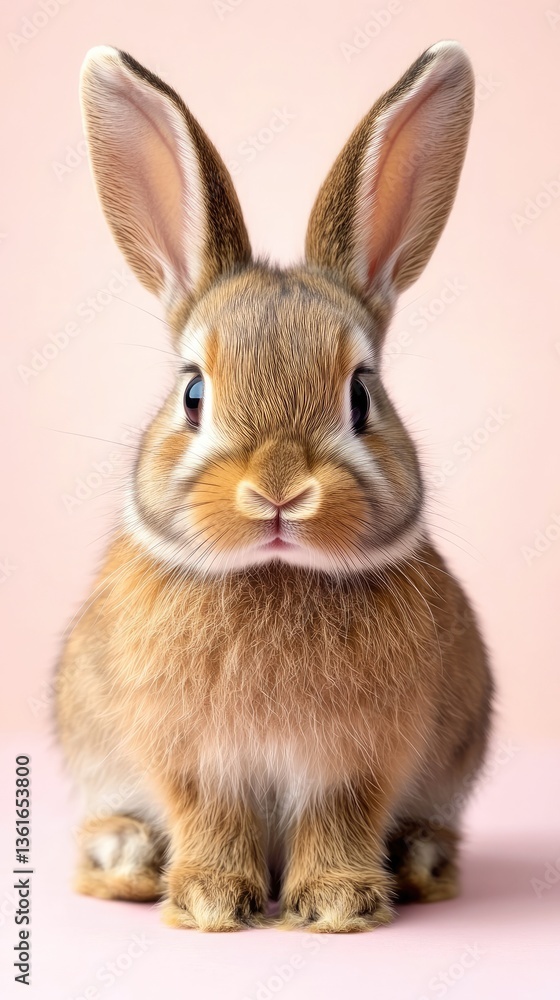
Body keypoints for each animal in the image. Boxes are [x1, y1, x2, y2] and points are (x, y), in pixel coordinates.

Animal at [56, 41, 493, 933]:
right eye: (193, 394)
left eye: (361, 396)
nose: (280, 491)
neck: (276, 574)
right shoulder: (194, 761)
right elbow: (210, 817)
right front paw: (209, 900)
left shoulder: (355, 763)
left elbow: (339, 817)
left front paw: (336, 904)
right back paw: (128, 862)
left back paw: (419, 863)